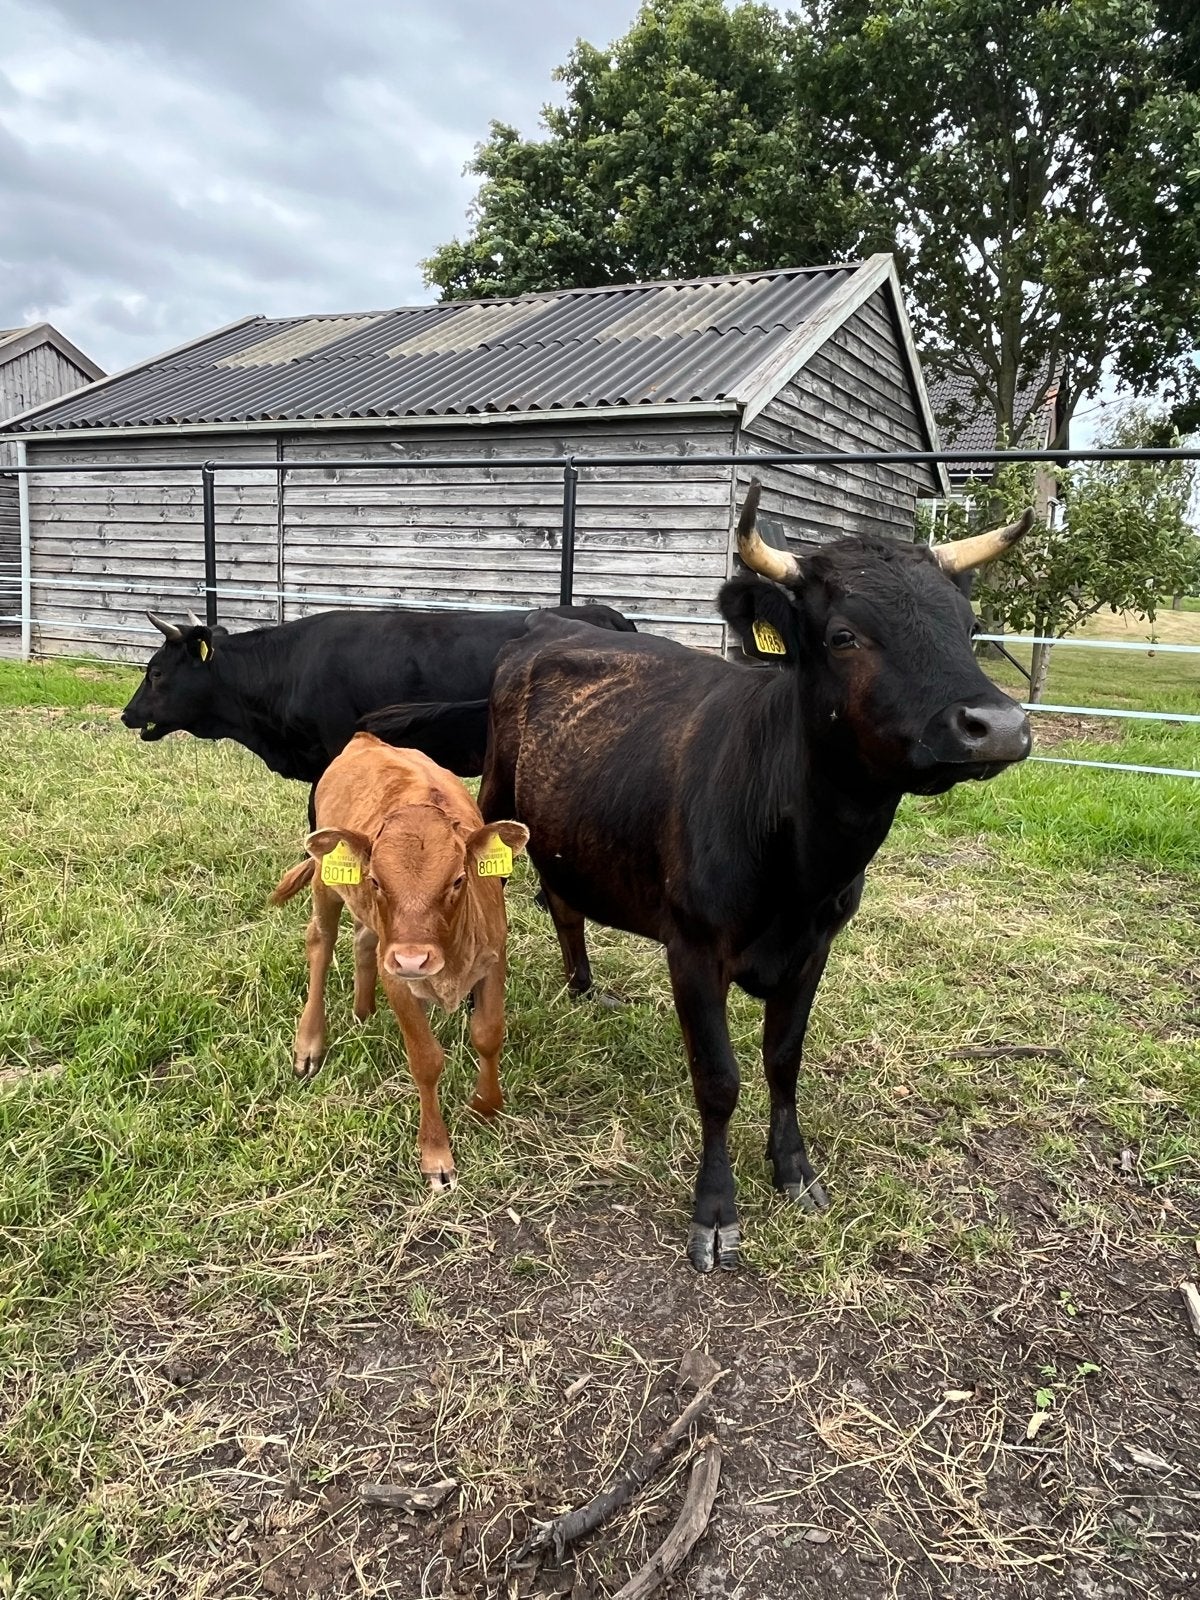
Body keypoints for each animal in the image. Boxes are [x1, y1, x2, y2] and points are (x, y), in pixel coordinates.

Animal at [270, 732, 529, 1189]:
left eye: (459, 880)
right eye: (376, 879)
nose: (412, 959)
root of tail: (365, 739)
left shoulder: (494, 960)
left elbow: (488, 1033)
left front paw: (486, 1106)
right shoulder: (399, 982)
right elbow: (426, 1060)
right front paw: (436, 1153)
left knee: (363, 941)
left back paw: (364, 1011)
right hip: (325, 881)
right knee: (320, 942)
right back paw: (309, 1043)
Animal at [477, 482, 1033, 1271]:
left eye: (969, 624)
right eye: (844, 636)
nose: (997, 726)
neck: (803, 870)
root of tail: (550, 623)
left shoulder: (815, 947)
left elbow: (782, 1059)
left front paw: (794, 1168)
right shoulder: (692, 948)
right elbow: (718, 1079)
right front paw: (716, 1209)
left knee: (563, 901)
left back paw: (585, 988)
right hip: (494, 798)